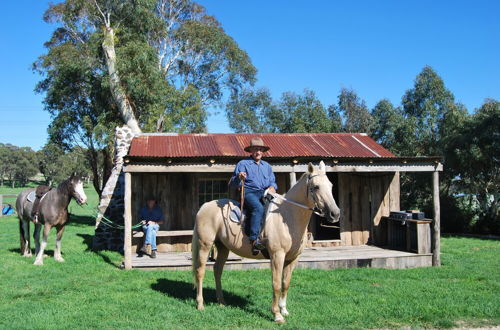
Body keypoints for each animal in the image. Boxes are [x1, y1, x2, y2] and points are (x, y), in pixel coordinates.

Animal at [191, 162, 340, 322]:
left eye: (331, 185)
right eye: (316, 186)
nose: (335, 214)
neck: (288, 217)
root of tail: (204, 206)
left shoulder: (293, 258)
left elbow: (285, 283)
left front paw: (284, 310)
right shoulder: (277, 255)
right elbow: (276, 284)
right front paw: (277, 315)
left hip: (223, 247)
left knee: (217, 270)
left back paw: (221, 301)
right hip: (205, 244)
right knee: (200, 271)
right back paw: (200, 304)